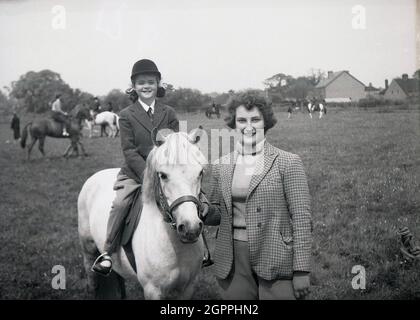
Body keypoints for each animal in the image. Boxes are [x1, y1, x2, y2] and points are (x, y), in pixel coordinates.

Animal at [78, 129, 208, 298]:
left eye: (200, 173)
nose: (190, 228)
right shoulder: (153, 290)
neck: (176, 246)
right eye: (163, 175)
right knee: (92, 278)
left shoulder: (188, 288)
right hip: (88, 249)